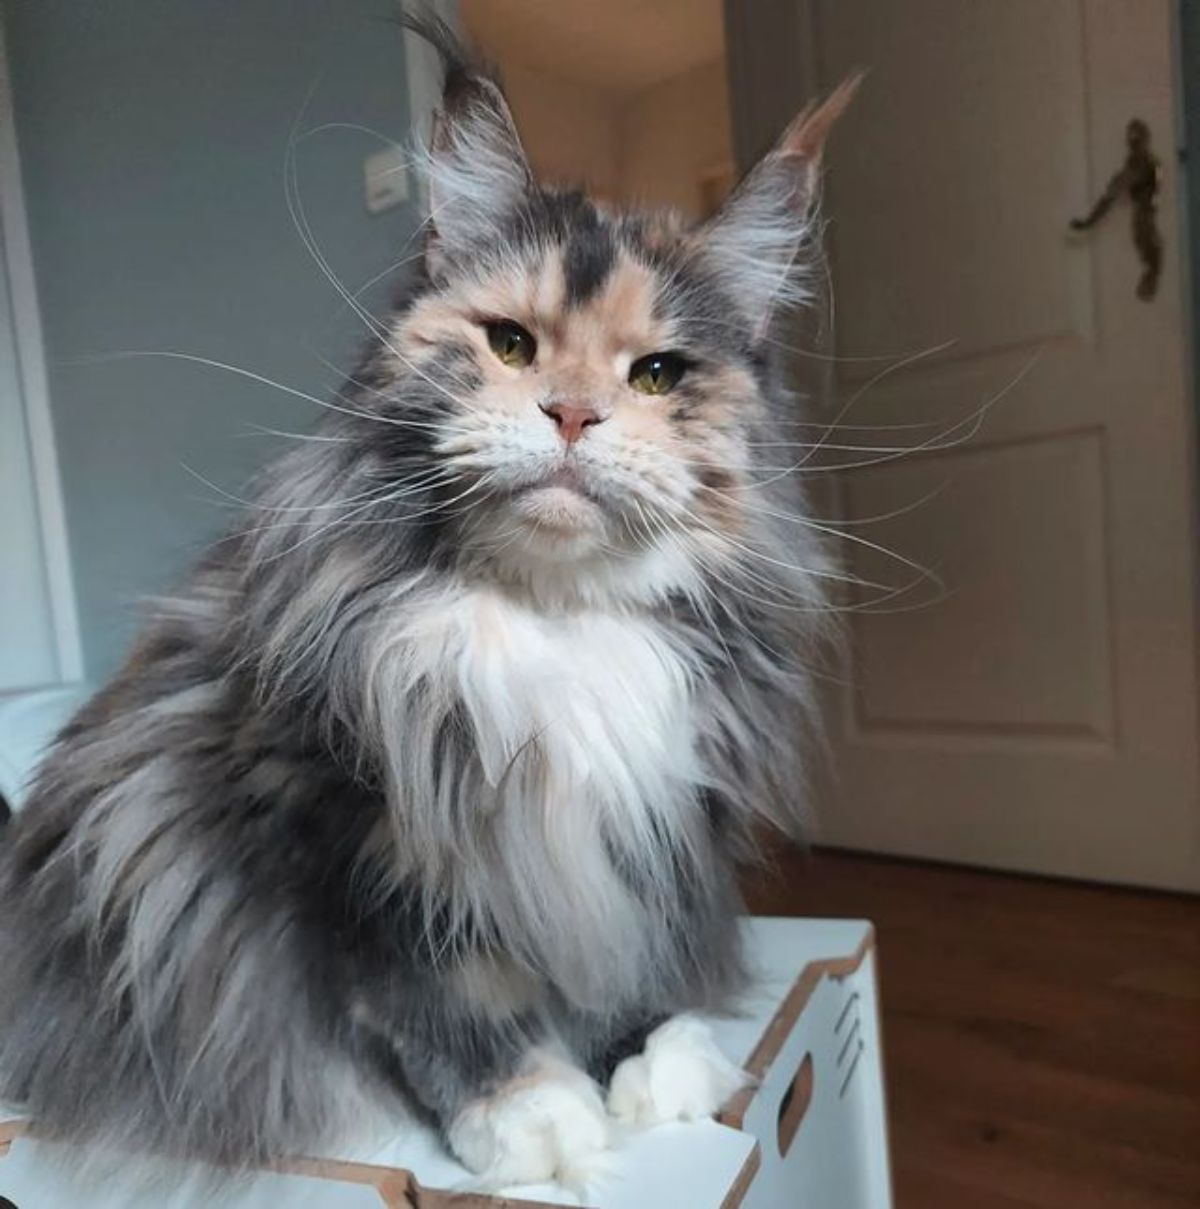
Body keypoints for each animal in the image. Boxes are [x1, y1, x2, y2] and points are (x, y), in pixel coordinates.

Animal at [0, 16, 845, 1189]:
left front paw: (652, 1060)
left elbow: (617, 961)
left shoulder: (648, 822)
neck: (554, 625)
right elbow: (445, 994)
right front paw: (530, 1114)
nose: (572, 413)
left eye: (658, 376)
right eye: (511, 346)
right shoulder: (359, 838)